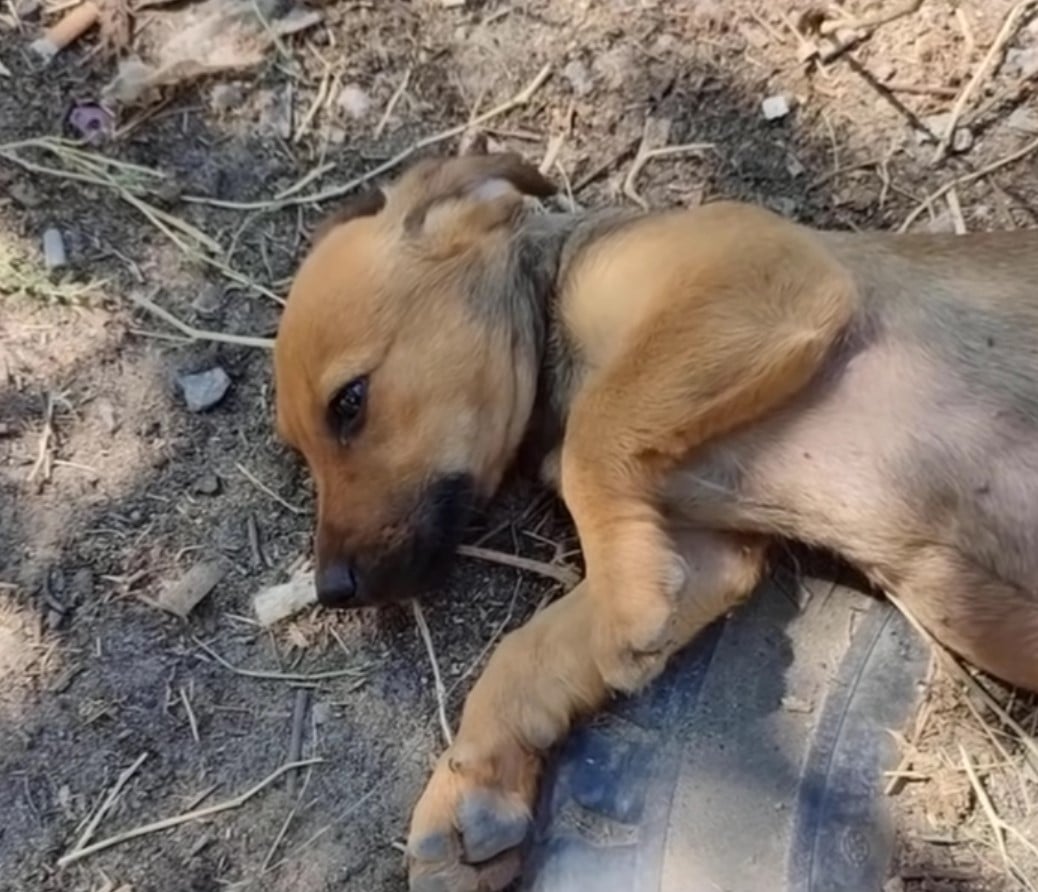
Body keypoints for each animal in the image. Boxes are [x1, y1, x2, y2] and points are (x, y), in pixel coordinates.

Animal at [274, 151, 1038, 892]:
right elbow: (526, 652)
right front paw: (471, 789)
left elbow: (593, 432)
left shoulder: (762, 273)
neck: (553, 324)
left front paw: (626, 599)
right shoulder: (705, 555)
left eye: (349, 402)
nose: (332, 590)